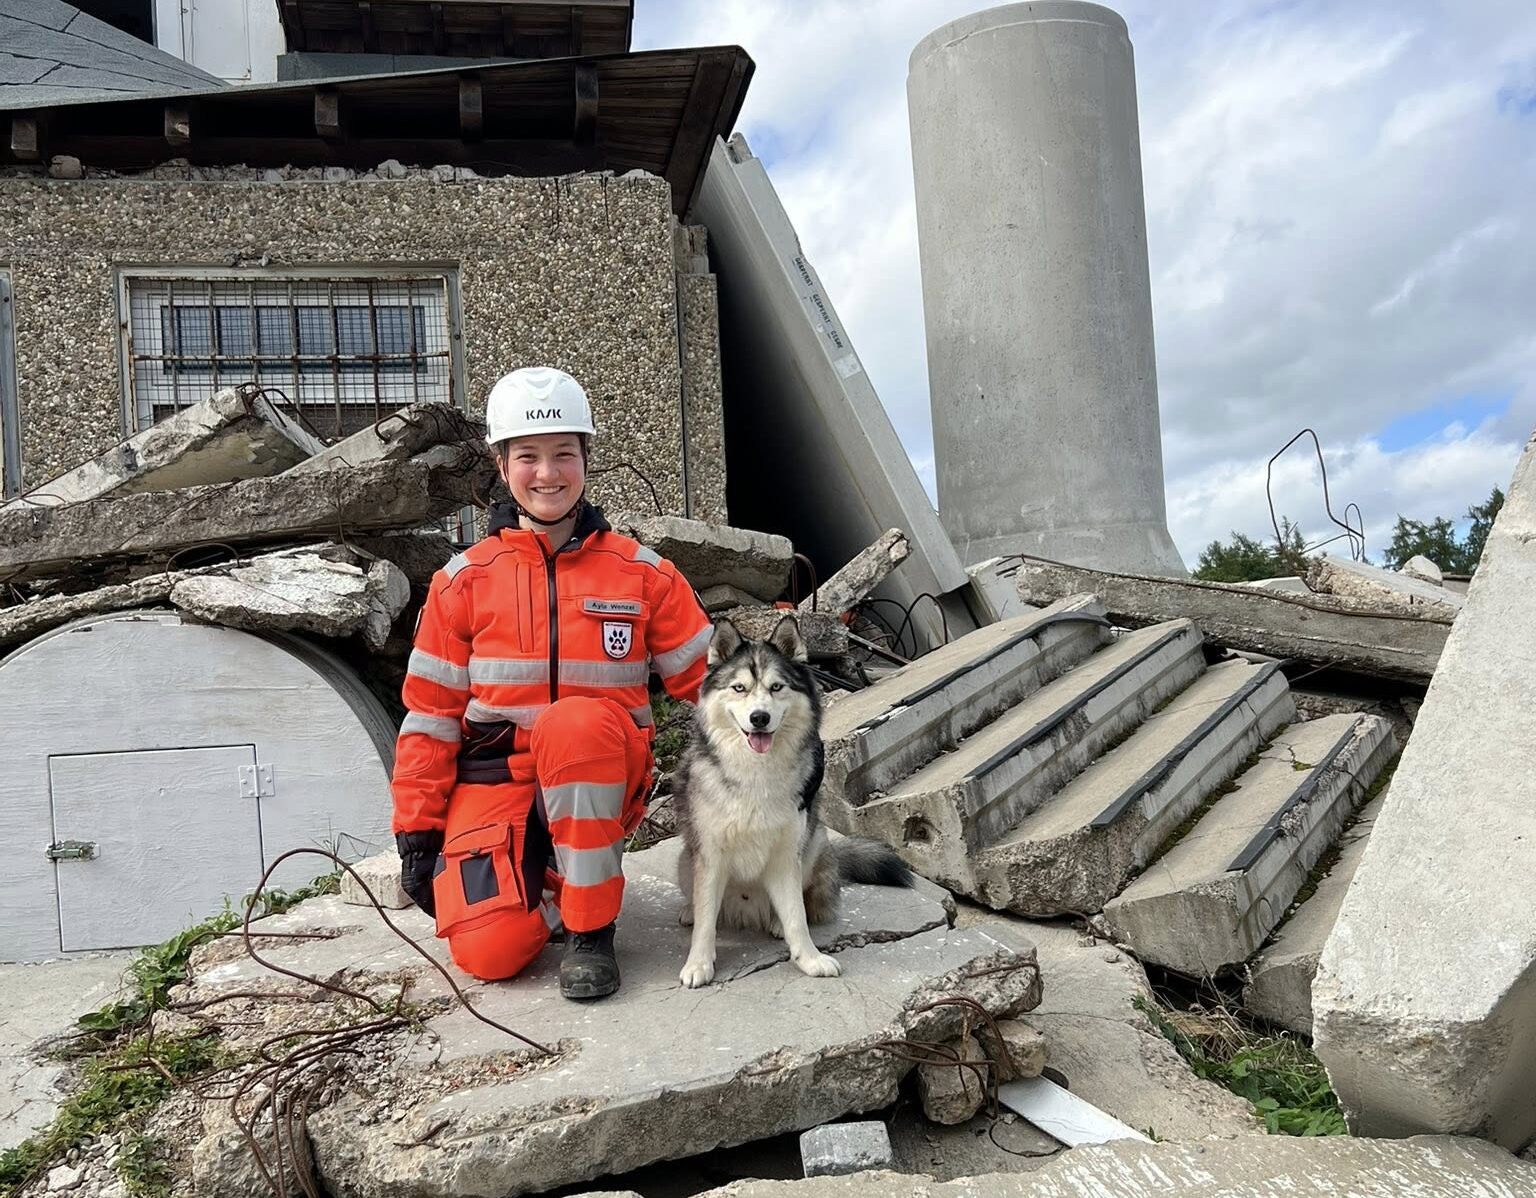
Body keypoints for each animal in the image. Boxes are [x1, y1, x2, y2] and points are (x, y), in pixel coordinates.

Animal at [672, 614, 912, 989]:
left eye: (776, 687)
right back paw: (690, 911)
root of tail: (746, 912)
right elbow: (707, 920)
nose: (759, 718)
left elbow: (797, 917)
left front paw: (809, 959)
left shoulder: (786, 857)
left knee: (804, 902)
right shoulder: (709, 856)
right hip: (686, 860)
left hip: (814, 843)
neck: (755, 770)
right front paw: (699, 963)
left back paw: (774, 923)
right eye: (739, 688)